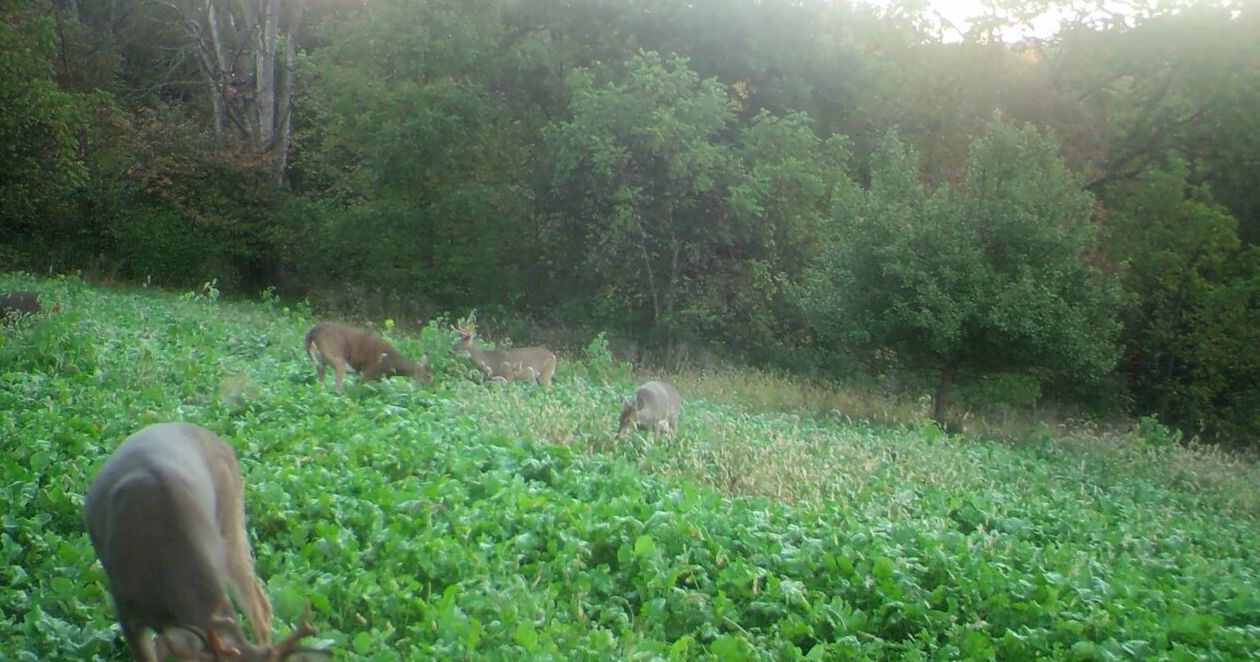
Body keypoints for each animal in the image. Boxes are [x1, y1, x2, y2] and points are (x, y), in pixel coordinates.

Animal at [303, 321, 433, 390]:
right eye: (428, 376)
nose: (432, 389)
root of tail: (312, 334)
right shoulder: (368, 371)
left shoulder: (377, 377)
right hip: (336, 356)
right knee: (337, 385)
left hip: (320, 362)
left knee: (320, 383)